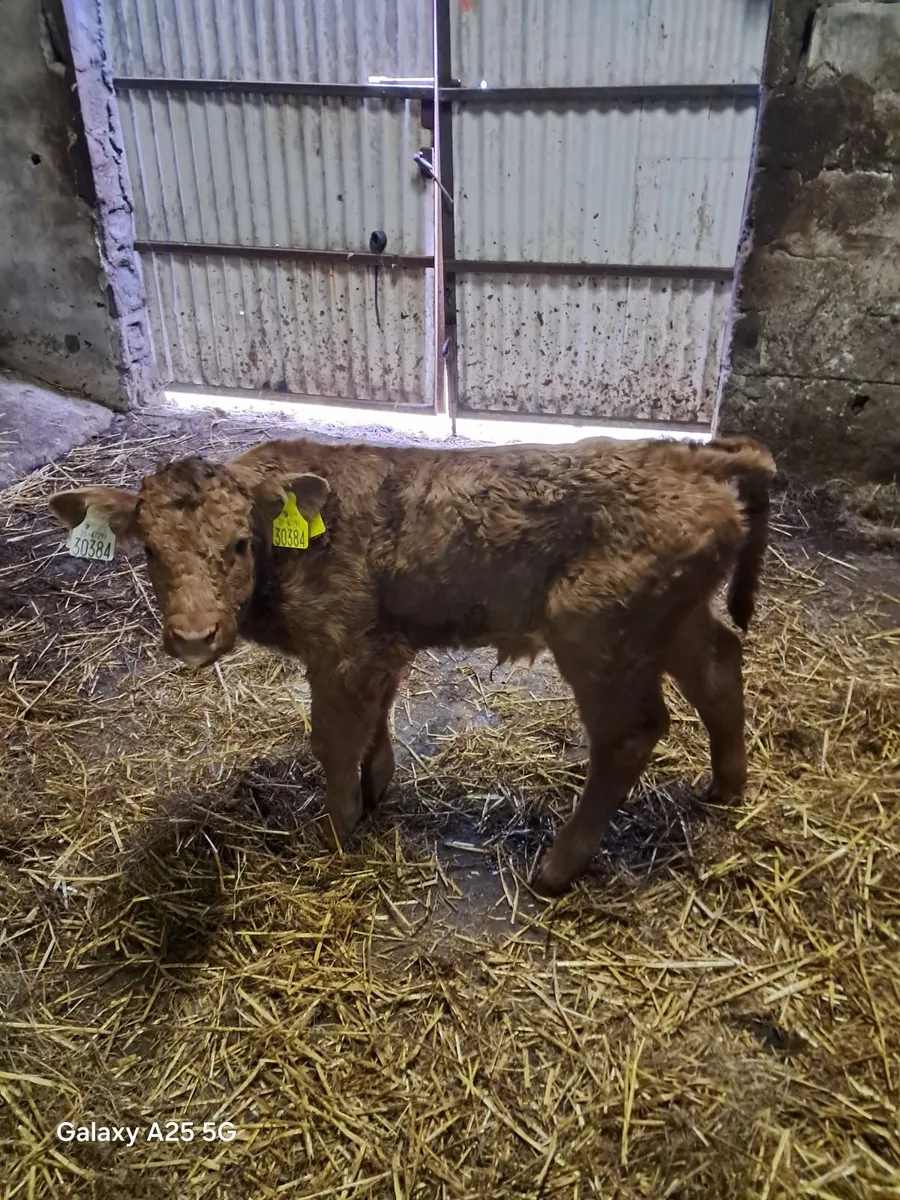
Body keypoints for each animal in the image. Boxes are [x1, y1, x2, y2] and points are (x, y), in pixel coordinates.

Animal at [49, 433, 775, 895]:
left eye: (237, 544)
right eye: (150, 551)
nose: (195, 637)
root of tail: (694, 460)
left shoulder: (339, 646)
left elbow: (333, 739)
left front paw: (339, 830)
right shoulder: (377, 645)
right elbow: (375, 724)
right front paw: (376, 792)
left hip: (599, 636)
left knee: (630, 734)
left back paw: (555, 870)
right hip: (671, 620)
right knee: (719, 668)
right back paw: (724, 789)